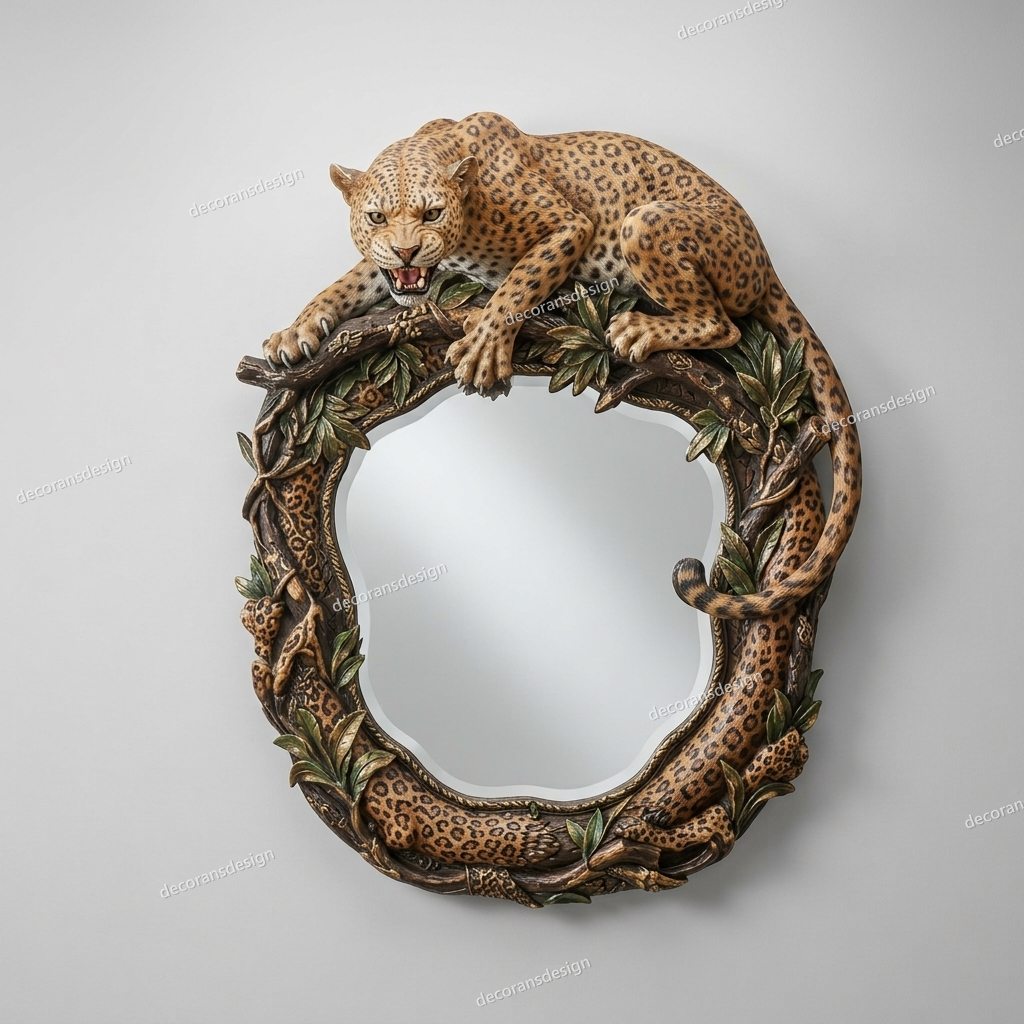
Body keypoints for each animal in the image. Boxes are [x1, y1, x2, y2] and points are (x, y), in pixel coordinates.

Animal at [262, 111, 861, 619]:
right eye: (377, 217)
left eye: (432, 213)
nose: (408, 251)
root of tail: (767, 261)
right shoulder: (389, 269)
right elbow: (347, 283)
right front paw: (297, 330)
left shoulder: (568, 225)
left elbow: (518, 282)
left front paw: (484, 343)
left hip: (646, 222)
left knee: (726, 325)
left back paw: (639, 328)